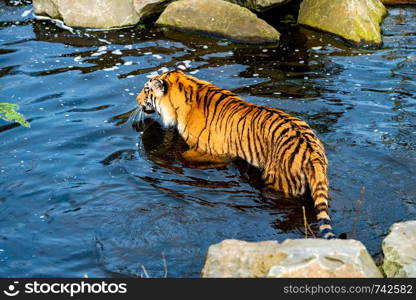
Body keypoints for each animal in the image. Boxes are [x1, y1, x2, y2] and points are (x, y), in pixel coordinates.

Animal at [136, 68, 334, 239]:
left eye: (146, 90)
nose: (137, 100)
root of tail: (313, 153)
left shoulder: (214, 153)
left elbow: (184, 155)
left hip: (279, 183)